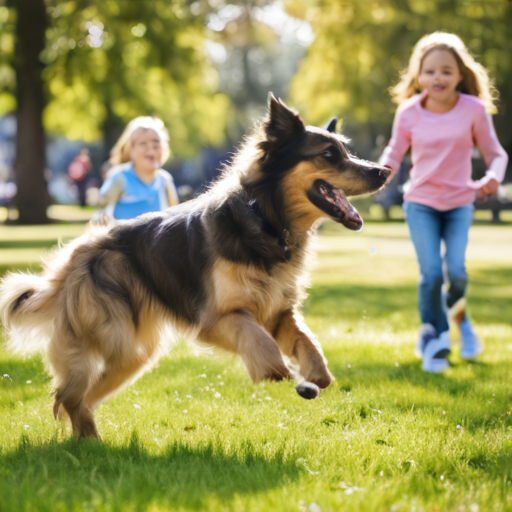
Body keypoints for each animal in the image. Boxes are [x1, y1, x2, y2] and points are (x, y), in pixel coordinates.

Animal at [0, 94, 390, 438]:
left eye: (346, 151)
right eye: (328, 155)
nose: (384, 172)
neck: (264, 220)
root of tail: (72, 258)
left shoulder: (279, 310)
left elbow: (306, 340)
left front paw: (315, 373)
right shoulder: (214, 318)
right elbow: (258, 338)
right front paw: (273, 369)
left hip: (134, 355)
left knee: (76, 398)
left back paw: (89, 440)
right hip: (117, 337)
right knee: (68, 395)